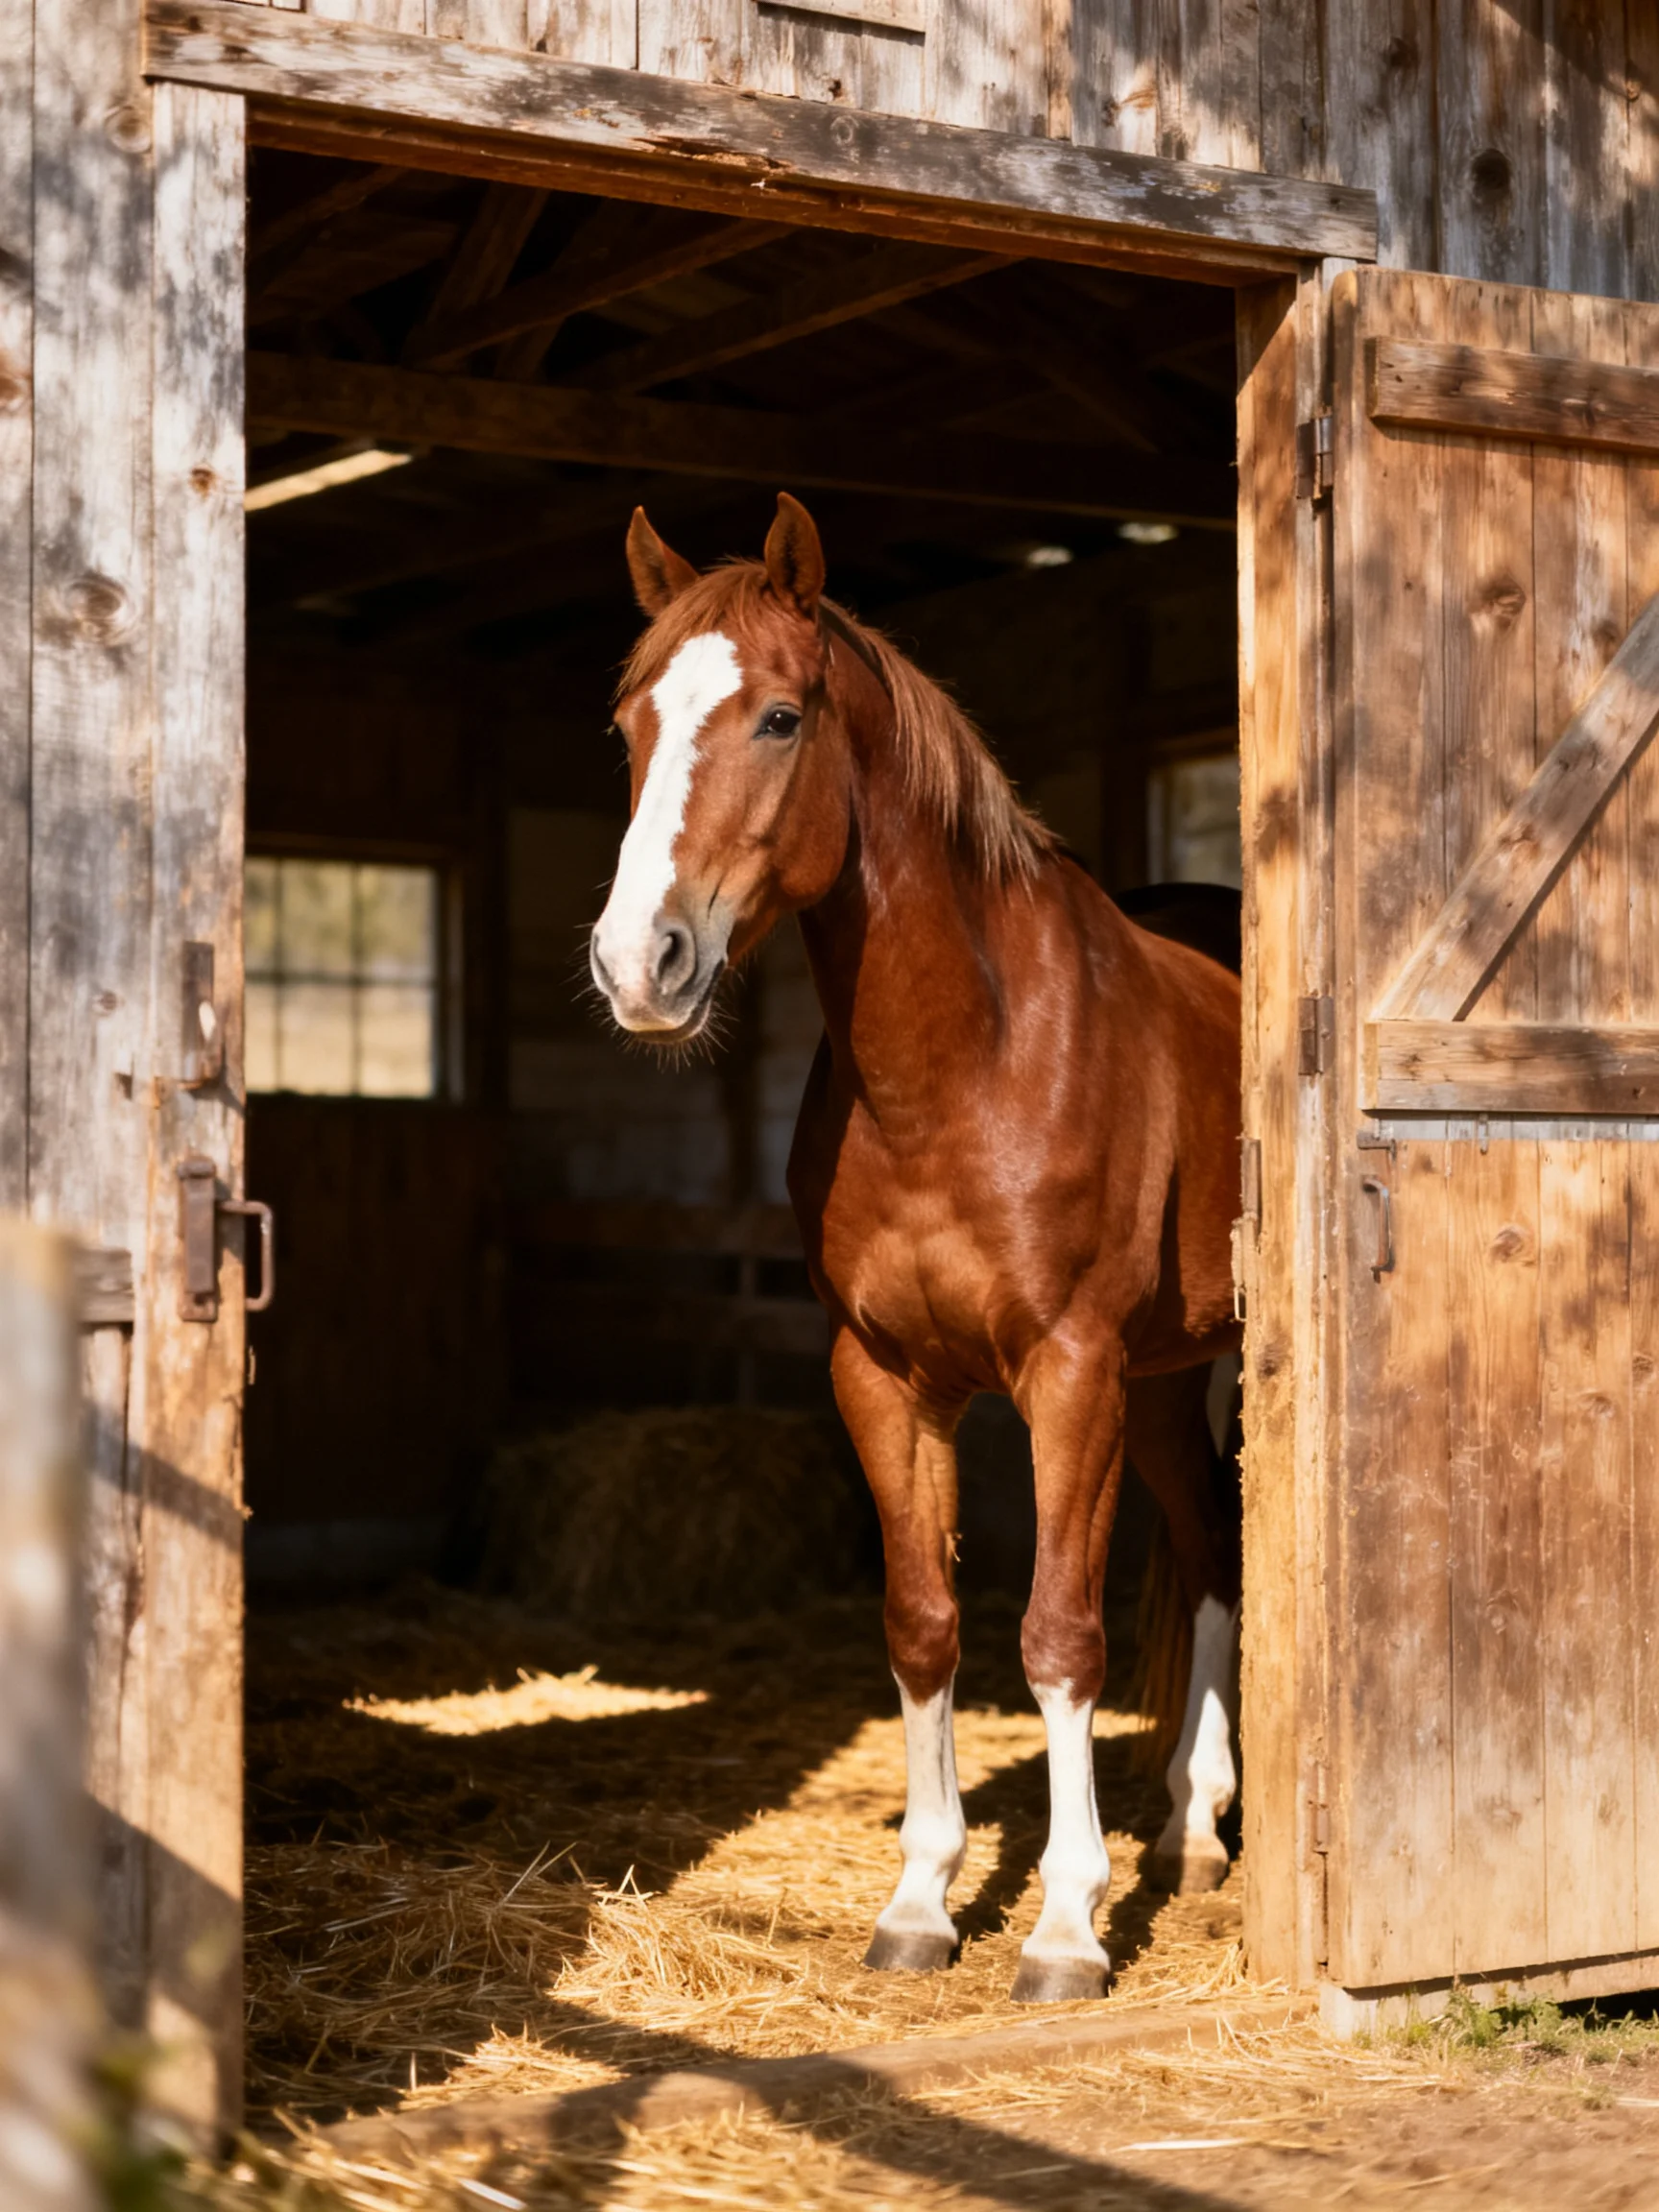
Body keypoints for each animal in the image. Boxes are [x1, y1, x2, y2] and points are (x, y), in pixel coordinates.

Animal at [589, 493, 1245, 2002]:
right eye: (630, 721)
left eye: (779, 718)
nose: (637, 964)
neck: (963, 1064)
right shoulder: (885, 1377)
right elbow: (923, 1621)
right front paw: (921, 1902)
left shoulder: (1070, 1375)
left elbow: (1058, 1635)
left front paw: (1065, 1929)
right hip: (1169, 1386)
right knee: (1213, 1550)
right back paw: (1188, 1830)